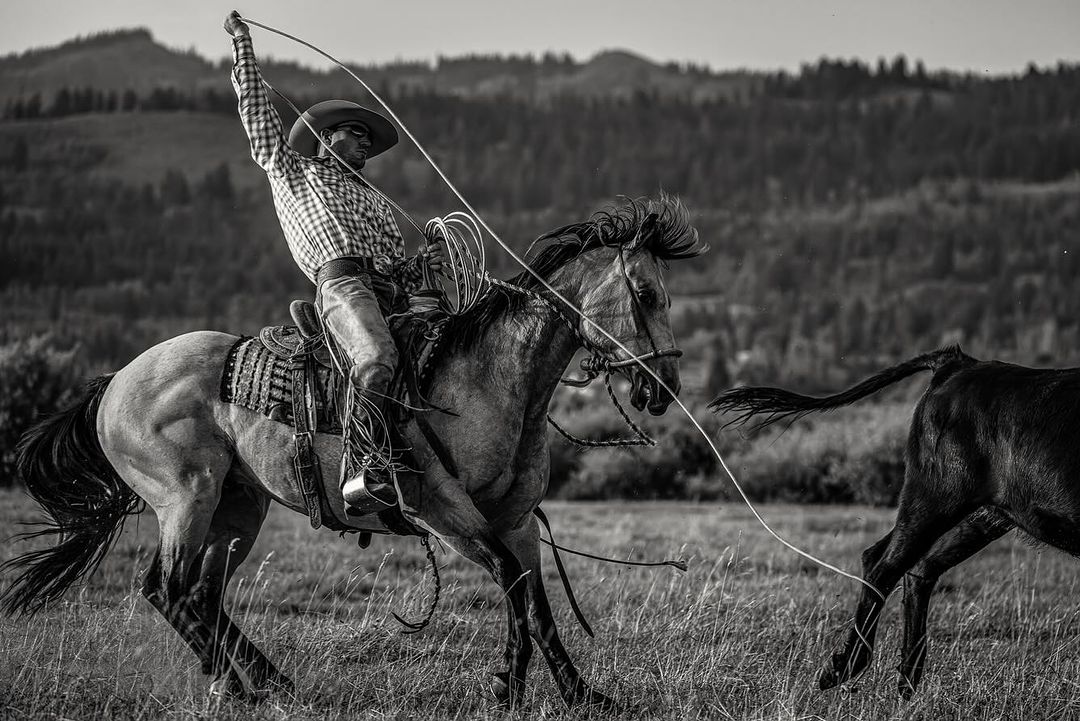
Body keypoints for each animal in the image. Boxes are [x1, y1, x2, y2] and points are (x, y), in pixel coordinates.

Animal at [1, 195, 704, 709]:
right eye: (645, 294)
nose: (664, 386)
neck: (486, 379)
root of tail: (115, 382)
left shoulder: (517, 520)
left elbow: (537, 603)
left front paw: (586, 696)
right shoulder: (443, 514)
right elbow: (510, 582)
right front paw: (508, 686)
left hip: (238, 506)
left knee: (200, 593)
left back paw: (266, 680)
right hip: (185, 496)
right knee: (166, 588)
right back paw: (244, 690)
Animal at [710, 345, 1080, 698]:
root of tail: (960, 363)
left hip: (981, 515)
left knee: (915, 567)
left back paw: (906, 677)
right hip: (935, 496)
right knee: (884, 565)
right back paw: (844, 667)